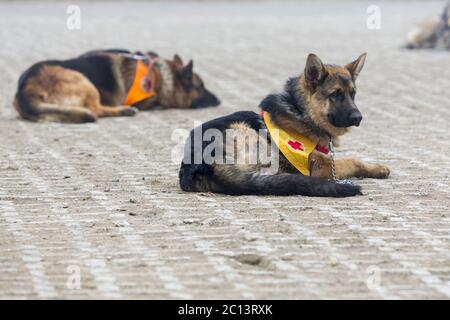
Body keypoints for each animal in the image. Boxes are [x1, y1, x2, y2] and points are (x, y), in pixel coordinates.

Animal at [14, 49, 222, 123]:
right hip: (84, 81)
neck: (158, 75)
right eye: (201, 86)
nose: (219, 101)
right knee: (95, 110)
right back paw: (125, 110)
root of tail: (25, 88)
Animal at [179, 52, 390, 198]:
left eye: (352, 94)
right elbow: (353, 161)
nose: (358, 117)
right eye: (335, 94)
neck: (302, 111)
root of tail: (200, 164)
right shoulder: (320, 166)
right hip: (247, 132)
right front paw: (378, 168)